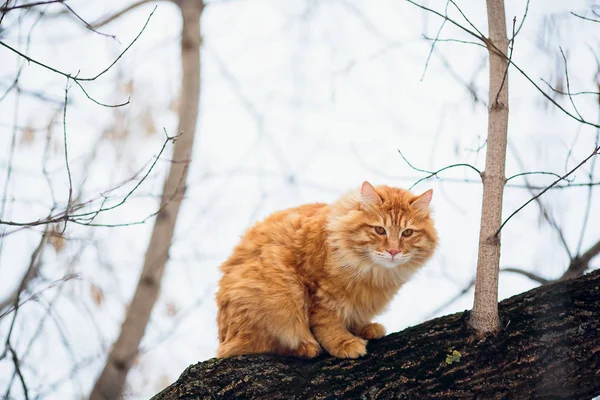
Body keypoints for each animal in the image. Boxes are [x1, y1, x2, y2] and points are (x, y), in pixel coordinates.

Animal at [216, 181, 436, 360]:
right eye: (379, 230)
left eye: (407, 233)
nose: (393, 251)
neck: (372, 273)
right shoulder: (319, 291)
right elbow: (327, 322)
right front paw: (344, 342)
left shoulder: (360, 302)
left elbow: (356, 317)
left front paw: (365, 328)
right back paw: (306, 347)